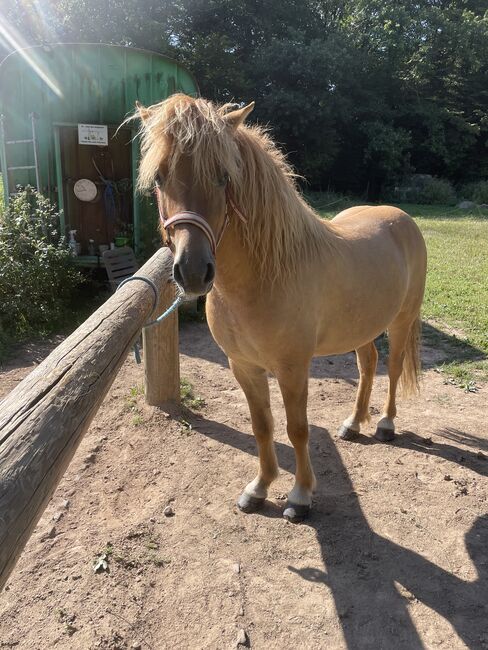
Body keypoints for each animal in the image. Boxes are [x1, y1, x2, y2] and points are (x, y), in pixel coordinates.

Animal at [132, 95, 426, 520]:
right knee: (368, 365)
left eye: (223, 176)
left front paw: (300, 496)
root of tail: (401, 217)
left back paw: (385, 425)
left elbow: (296, 429)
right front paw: (258, 489)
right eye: (158, 177)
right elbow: (263, 426)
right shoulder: (243, 366)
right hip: (362, 327)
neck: (264, 276)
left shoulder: (292, 368)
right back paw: (354, 424)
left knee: (394, 365)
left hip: (401, 321)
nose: (193, 271)